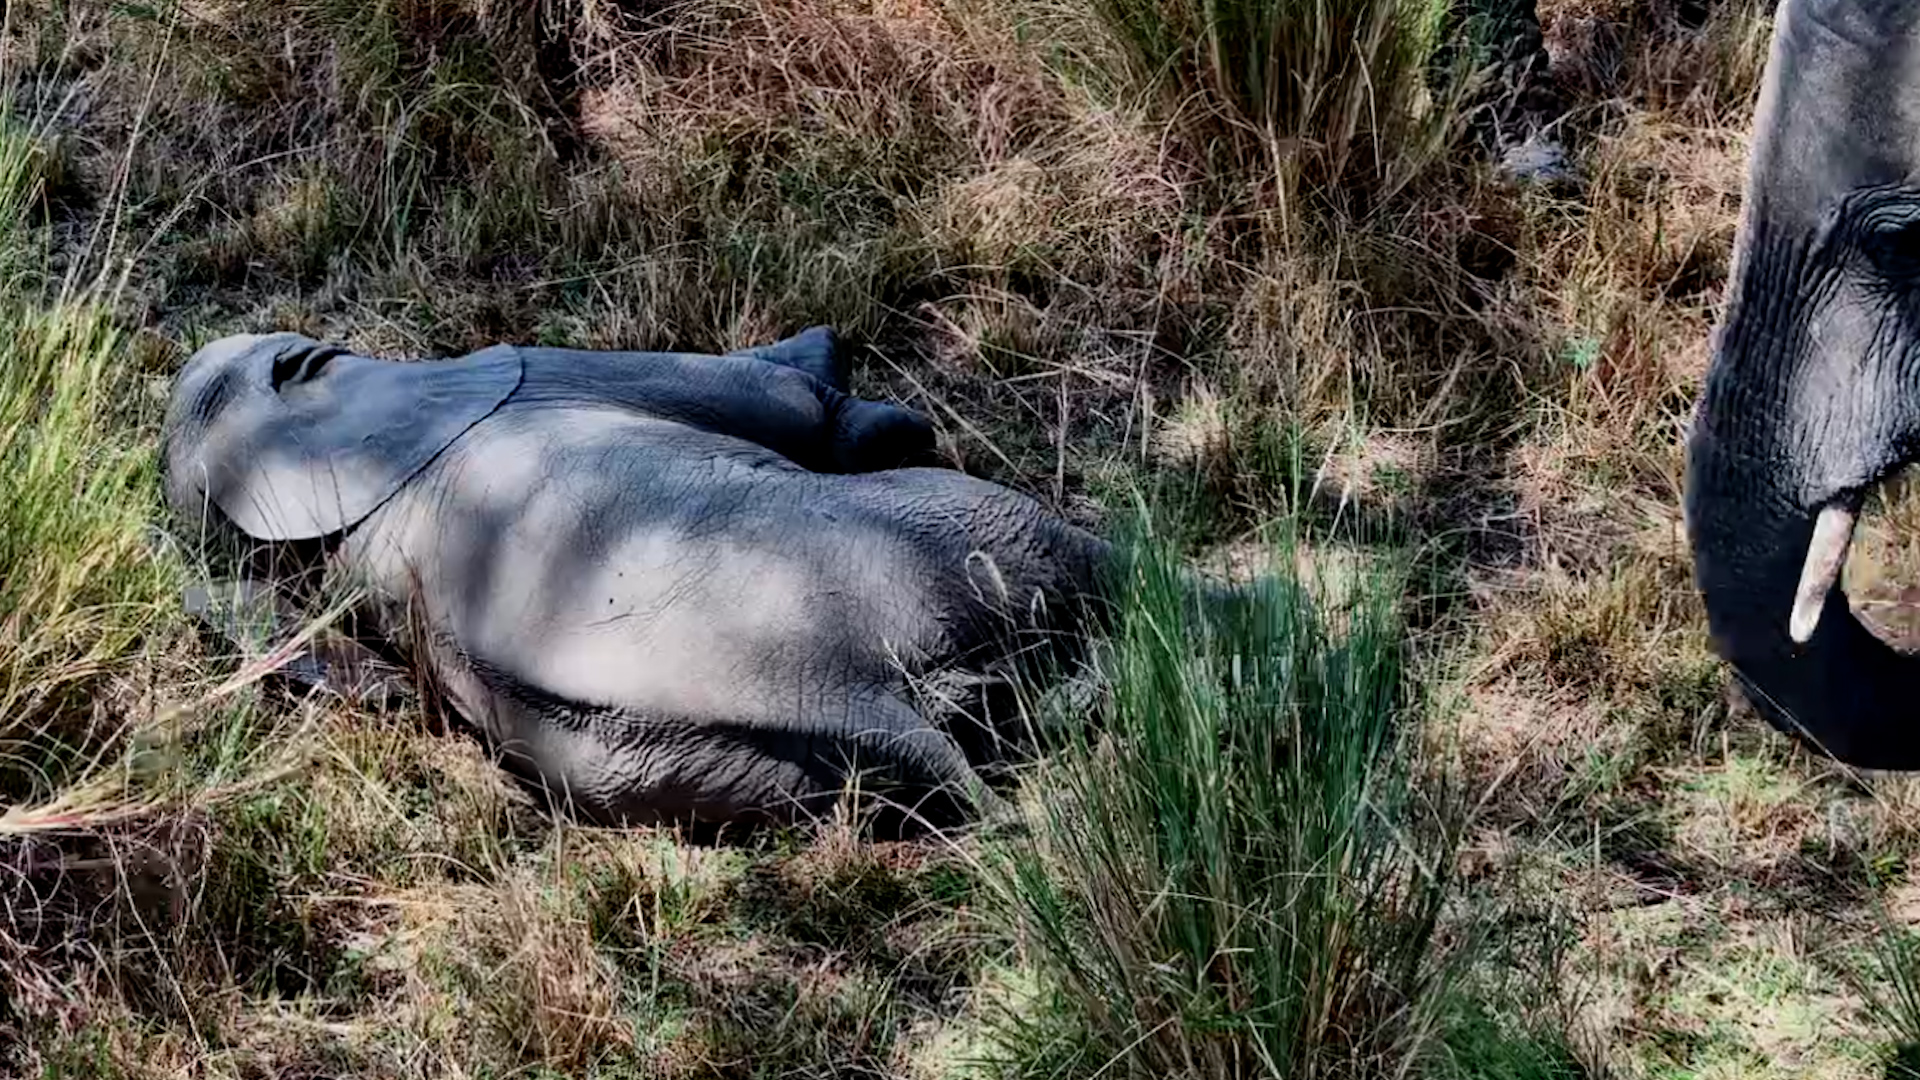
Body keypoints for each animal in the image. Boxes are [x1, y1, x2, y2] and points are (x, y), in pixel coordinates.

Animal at [161, 326, 1114, 828]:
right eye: (315, 361)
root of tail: (858, 702)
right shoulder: (541, 370)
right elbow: (791, 399)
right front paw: (878, 405)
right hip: (953, 538)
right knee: (1076, 551)